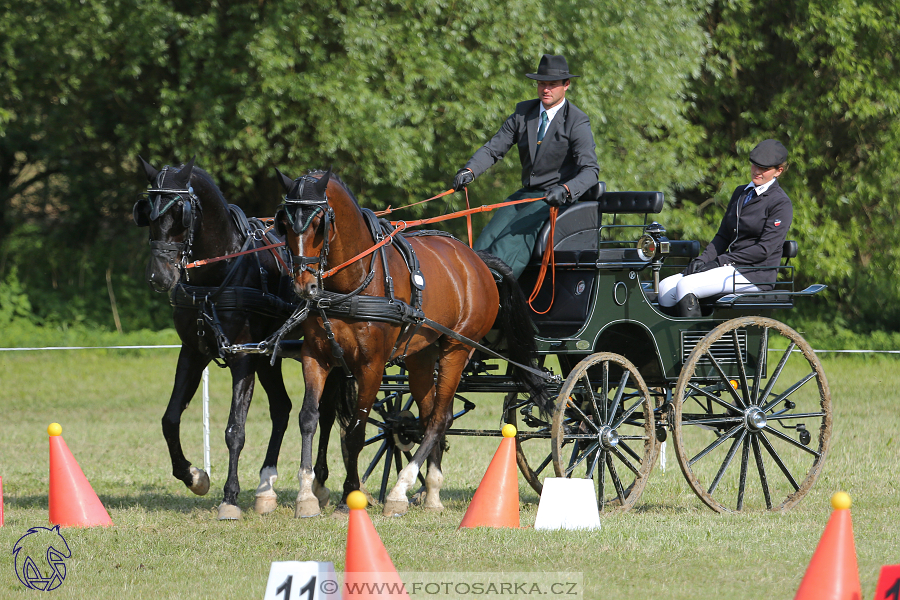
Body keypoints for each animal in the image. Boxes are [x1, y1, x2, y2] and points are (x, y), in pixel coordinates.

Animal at [135, 158, 346, 520]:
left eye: (180, 213)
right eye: (147, 212)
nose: (159, 277)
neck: (218, 273)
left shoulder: (244, 356)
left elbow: (235, 430)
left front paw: (230, 498)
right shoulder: (193, 352)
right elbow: (170, 418)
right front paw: (194, 476)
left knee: (326, 411)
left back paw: (317, 482)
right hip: (270, 355)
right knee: (282, 408)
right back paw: (266, 488)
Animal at [274, 169, 548, 516]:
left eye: (319, 222)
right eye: (284, 223)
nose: (304, 285)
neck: (353, 284)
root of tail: (477, 260)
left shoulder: (371, 365)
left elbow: (355, 432)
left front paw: (350, 496)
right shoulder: (317, 357)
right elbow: (309, 418)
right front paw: (306, 496)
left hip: (457, 348)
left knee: (439, 419)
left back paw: (400, 490)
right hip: (421, 355)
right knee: (430, 415)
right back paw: (430, 491)